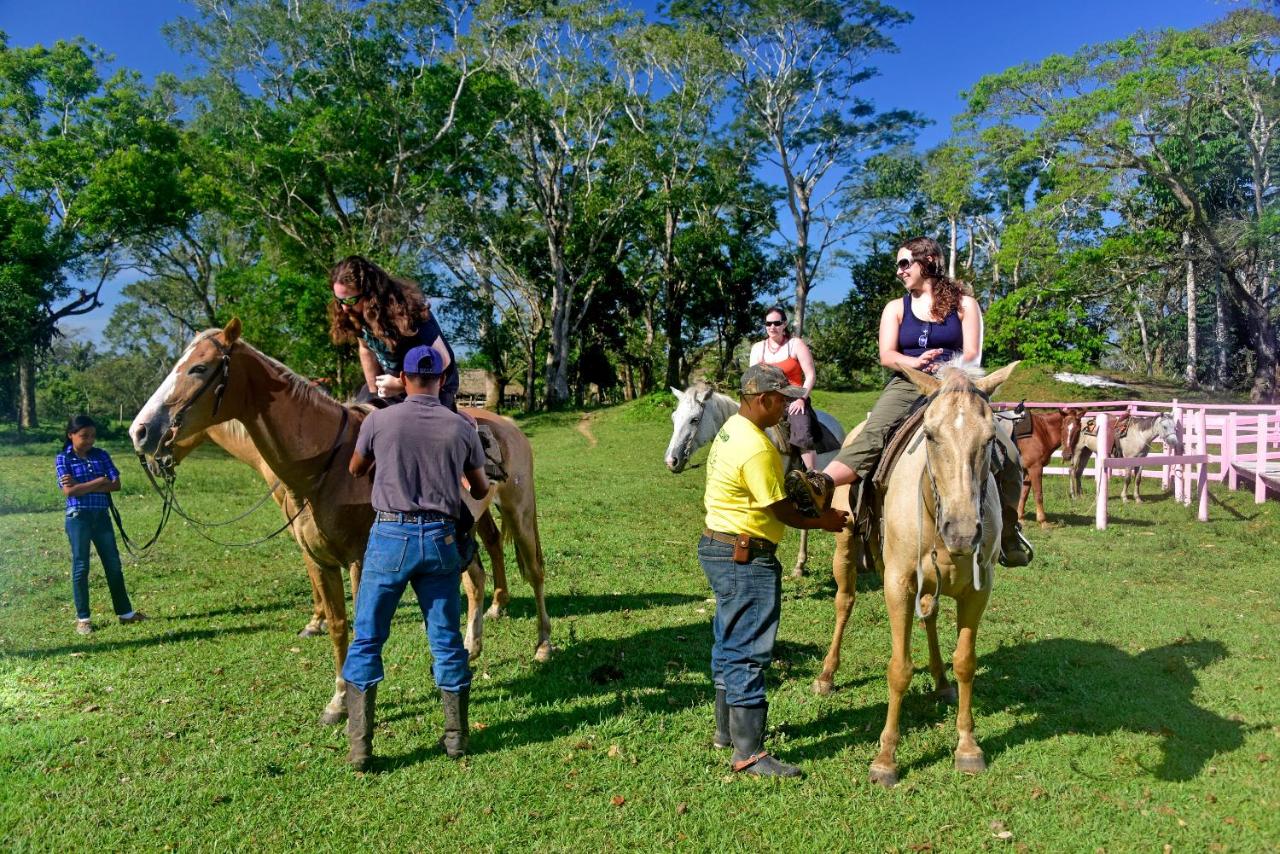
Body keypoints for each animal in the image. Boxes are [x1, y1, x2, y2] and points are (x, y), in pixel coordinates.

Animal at [819, 361, 1018, 788]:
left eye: (991, 438)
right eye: (930, 434)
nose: (962, 531)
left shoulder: (979, 589)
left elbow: (966, 662)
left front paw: (967, 747)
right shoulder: (898, 582)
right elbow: (899, 669)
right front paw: (885, 759)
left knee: (929, 616)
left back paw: (941, 681)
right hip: (845, 548)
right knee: (844, 602)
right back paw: (826, 675)